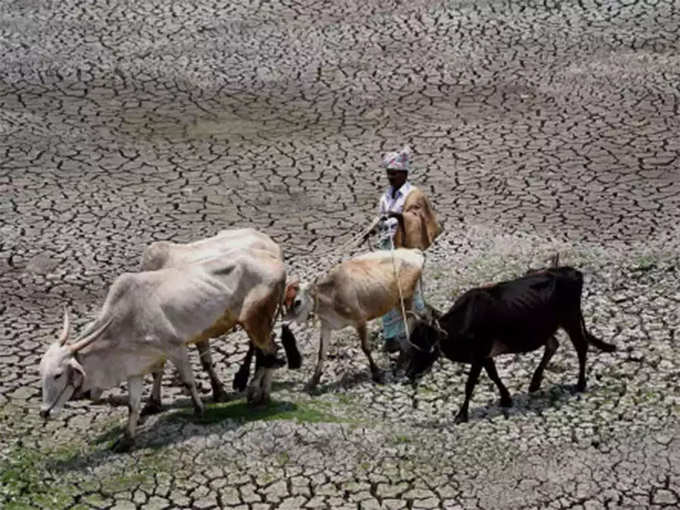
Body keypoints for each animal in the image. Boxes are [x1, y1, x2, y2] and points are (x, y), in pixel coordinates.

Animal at [39, 249, 294, 452]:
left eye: (58, 375)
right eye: (41, 374)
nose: (43, 412)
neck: (126, 318)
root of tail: (277, 264)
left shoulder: (175, 349)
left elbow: (189, 381)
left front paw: (200, 410)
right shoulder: (135, 367)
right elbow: (133, 405)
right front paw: (127, 439)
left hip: (255, 321)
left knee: (270, 352)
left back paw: (259, 395)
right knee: (267, 354)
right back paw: (258, 393)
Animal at [141, 228, 292, 414]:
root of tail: (273, 246)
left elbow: (205, 362)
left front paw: (219, 392)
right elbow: (159, 369)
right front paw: (153, 403)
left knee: (266, 348)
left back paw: (257, 391)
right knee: (262, 349)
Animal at [282, 249, 422, 388]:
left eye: (297, 302)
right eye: (284, 303)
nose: (284, 322)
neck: (332, 295)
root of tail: (413, 252)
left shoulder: (360, 320)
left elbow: (366, 348)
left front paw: (376, 373)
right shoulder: (326, 325)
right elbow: (321, 352)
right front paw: (314, 380)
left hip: (405, 297)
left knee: (411, 319)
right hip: (400, 301)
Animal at [406, 266, 620, 422]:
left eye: (423, 342)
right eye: (412, 342)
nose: (409, 373)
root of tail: (572, 271)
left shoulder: (479, 354)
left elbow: (470, 384)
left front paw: (461, 414)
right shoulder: (485, 355)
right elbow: (493, 375)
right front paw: (506, 398)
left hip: (571, 319)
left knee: (581, 347)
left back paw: (580, 383)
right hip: (547, 327)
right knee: (553, 344)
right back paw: (534, 383)